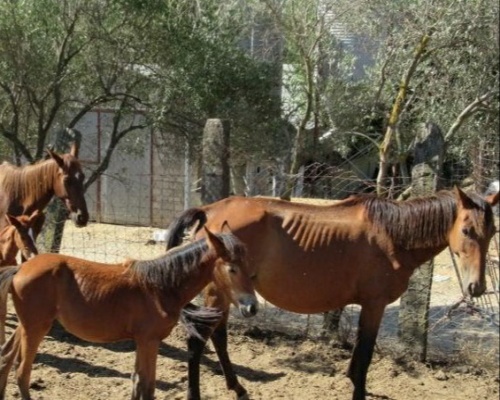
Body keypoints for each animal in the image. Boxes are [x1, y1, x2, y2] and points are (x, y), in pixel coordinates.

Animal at [0, 228, 258, 400]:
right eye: (231, 268)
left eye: (249, 267)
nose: (252, 307)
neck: (159, 286)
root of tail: (20, 268)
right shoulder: (149, 341)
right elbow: (147, 386)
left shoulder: (141, 342)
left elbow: (137, 382)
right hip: (36, 328)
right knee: (22, 373)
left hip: (27, 326)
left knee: (6, 358)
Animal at [167, 188, 500, 400]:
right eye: (467, 231)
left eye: (493, 232)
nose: (477, 287)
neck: (391, 234)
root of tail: (210, 211)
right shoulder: (375, 304)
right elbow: (365, 355)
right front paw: (358, 392)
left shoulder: (369, 306)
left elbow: (359, 353)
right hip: (217, 294)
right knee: (199, 341)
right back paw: (195, 394)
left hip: (226, 295)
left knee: (218, 338)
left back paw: (237, 387)